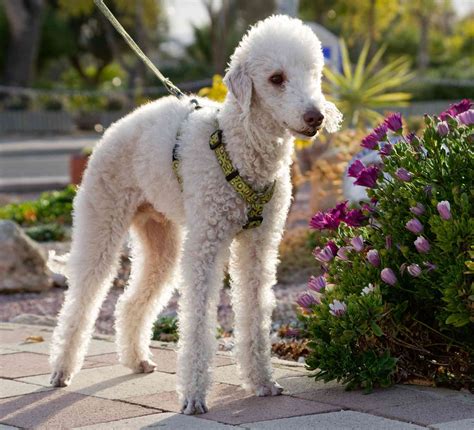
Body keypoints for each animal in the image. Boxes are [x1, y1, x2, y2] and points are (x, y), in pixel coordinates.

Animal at [49, 15, 340, 414]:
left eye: (314, 73)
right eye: (276, 78)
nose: (316, 116)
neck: (240, 149)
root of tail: (114, 128)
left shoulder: (259, 244)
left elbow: (255, 310)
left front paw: (262, 382)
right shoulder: (206, 243)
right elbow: (198, 319)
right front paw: (194, 396)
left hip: (160, 237)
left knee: (130, 302)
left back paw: (136, 359)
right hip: (102, 219)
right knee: (82, 299)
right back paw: (62, 370)